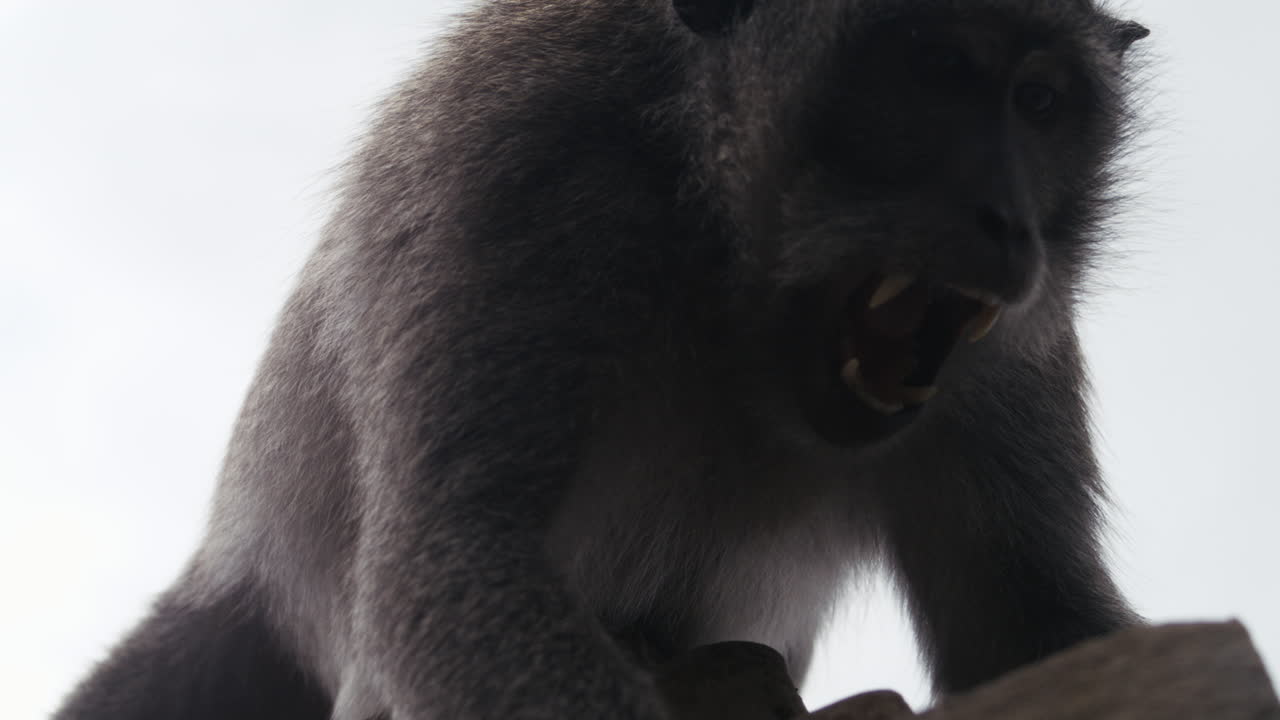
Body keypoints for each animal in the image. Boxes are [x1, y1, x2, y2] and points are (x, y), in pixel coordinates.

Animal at [54, 0, 1152, 718]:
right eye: (933, 69)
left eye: (1039, 101)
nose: (1007, 221)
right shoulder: (521, 179)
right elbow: (456, 555)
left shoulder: (1014, 360)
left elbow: (1023, 624)